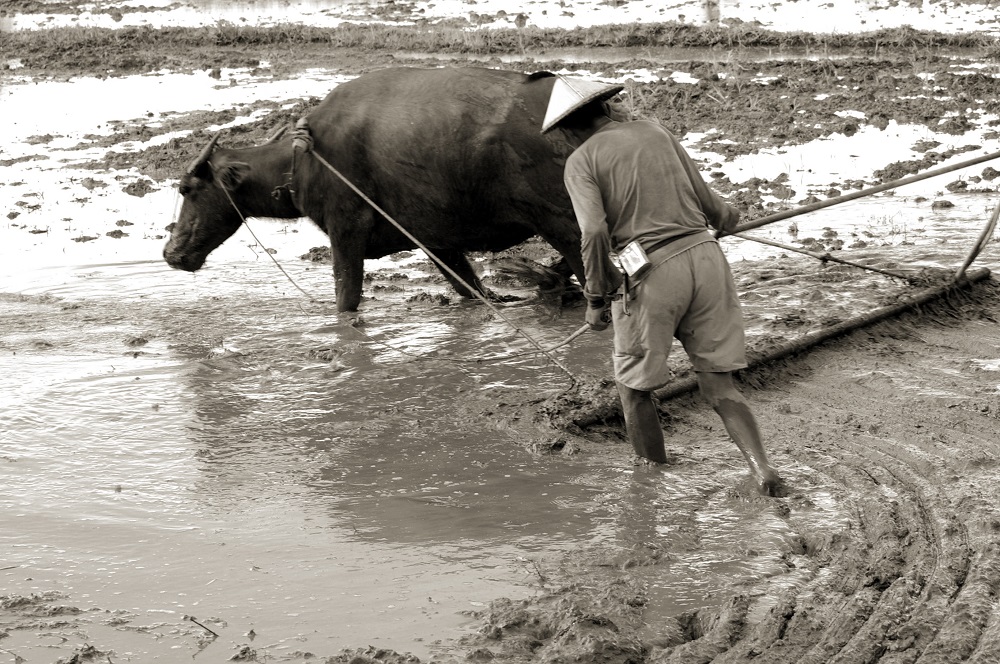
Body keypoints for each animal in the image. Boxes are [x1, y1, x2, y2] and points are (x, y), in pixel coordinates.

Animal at [163, 66, 589, 312]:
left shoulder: (346, 231)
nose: (171, 253)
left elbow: (345, 298)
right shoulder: (436, 242)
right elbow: (473, 289)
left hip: (565, 226)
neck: (304, 158)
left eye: (186, 189)